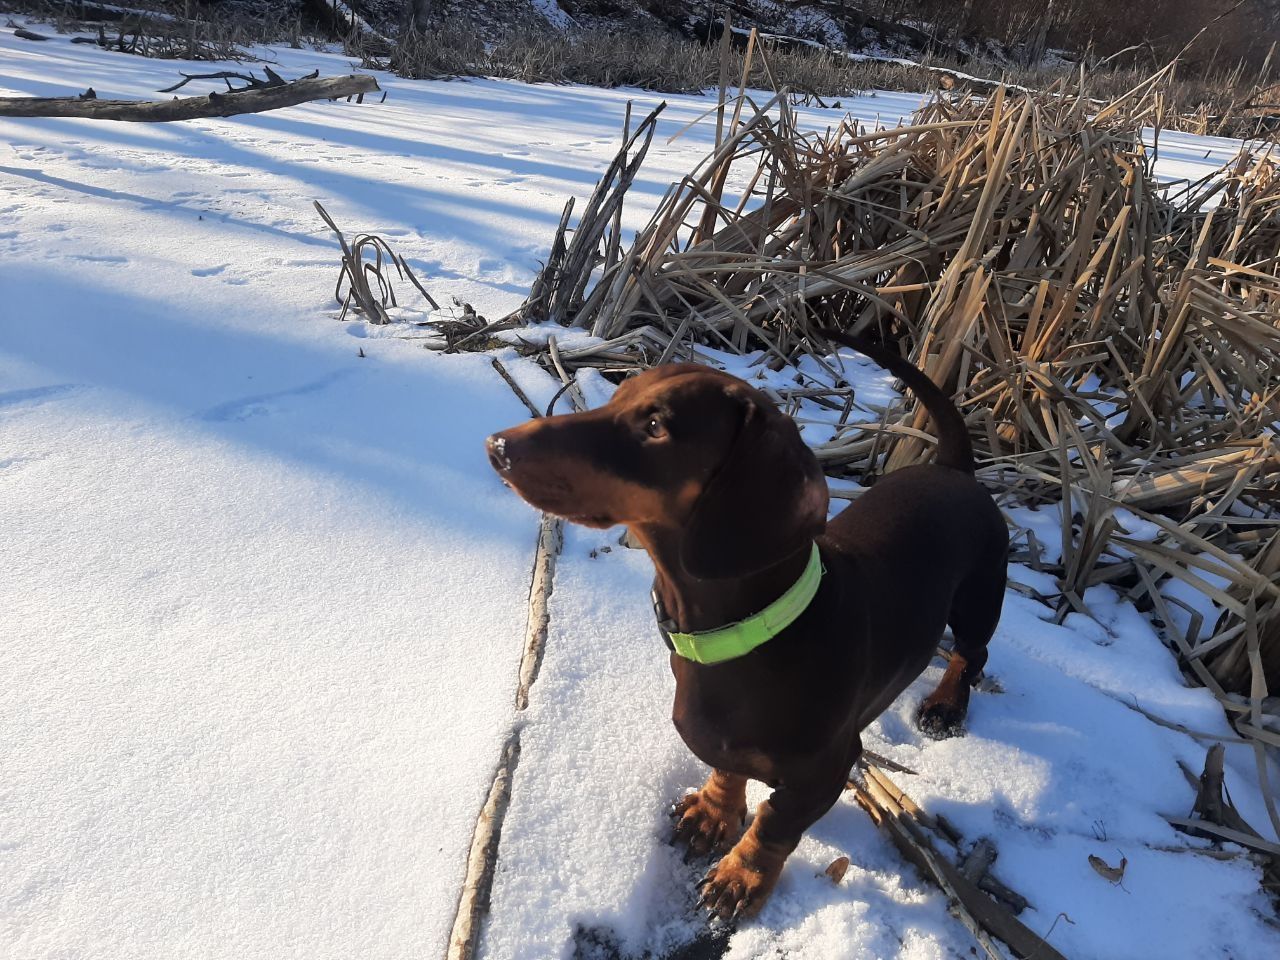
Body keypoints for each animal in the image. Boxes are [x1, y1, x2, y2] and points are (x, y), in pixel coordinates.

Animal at [483, 332, 1003, 926]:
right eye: (617, 397)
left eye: (656, 426)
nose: (496, 446)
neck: (745, 635)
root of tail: (954, 470)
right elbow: (727, 769)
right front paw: (713, 813)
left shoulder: (827, 769)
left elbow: (776, 823)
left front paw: (741, 877)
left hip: (980, 599)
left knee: (972, 654)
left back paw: (945, 705)